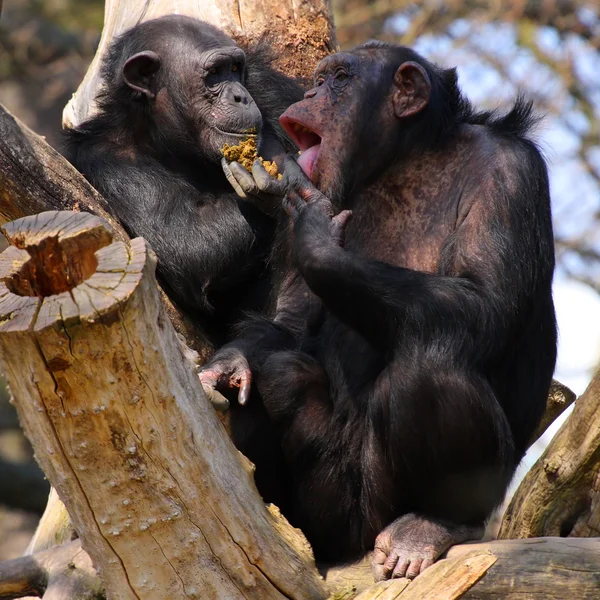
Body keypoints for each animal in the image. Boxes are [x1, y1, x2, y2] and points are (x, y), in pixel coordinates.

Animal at [64, 15, 304, 342]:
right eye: (214, 74)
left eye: (235, 69)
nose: (241, 96)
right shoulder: (107, 161)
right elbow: (189, 239)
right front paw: (280, 179)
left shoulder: (268, 86)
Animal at [202, 39, 556, 580]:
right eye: (318, 79)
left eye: (339, 79)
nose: (310, 93)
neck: (404, 160)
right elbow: (289, 320)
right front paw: (229, 360)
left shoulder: (511, 172)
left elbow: (487, 300)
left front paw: (318, 240)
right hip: (337, 511)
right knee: (280, 371)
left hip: (413, 501)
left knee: (429, 365)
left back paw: (429, 525)